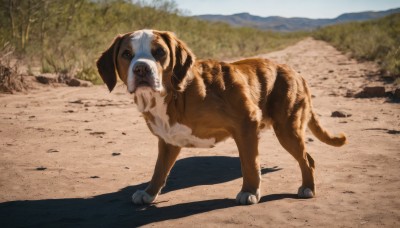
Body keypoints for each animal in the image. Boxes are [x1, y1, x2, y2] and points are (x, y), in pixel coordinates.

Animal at [95, 29, 346, 205]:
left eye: (160, 52)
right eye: (127, 54)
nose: (141, 69)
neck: (176, 94)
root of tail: (295, 72)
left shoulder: (246, 124)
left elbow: (250, 163)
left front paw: (249, 191)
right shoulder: (168, 141)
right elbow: (159, 169)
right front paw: (149, 193)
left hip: (287, 129)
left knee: (307, 160)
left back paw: (308, 188)